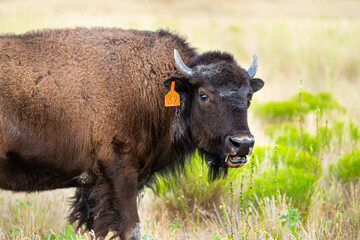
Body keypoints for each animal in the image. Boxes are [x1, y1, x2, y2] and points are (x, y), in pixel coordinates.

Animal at [0, 27, 264, 238]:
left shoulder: (93, 188)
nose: (242, 143)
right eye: (204, 95)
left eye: (249, 96)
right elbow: (132, 228)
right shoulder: (120, 175)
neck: (156, 89)